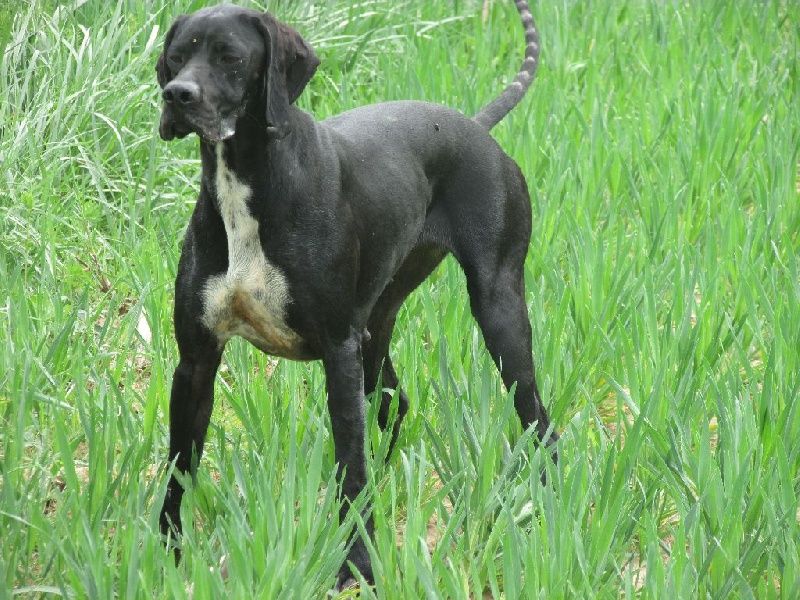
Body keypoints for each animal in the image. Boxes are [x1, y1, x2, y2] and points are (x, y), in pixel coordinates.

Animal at [156, 0, 556, 584]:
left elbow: (349, 466)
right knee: (395, 401)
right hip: (376, 324)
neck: (245, 183)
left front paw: (357, 567)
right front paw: (164, 554)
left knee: (539, 423)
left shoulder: (336, 352)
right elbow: (178, 469)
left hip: (499, 314)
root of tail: (474, 126)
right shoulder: (195, 362)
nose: (177, 95)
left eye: (231, 57)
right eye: (176, 56)